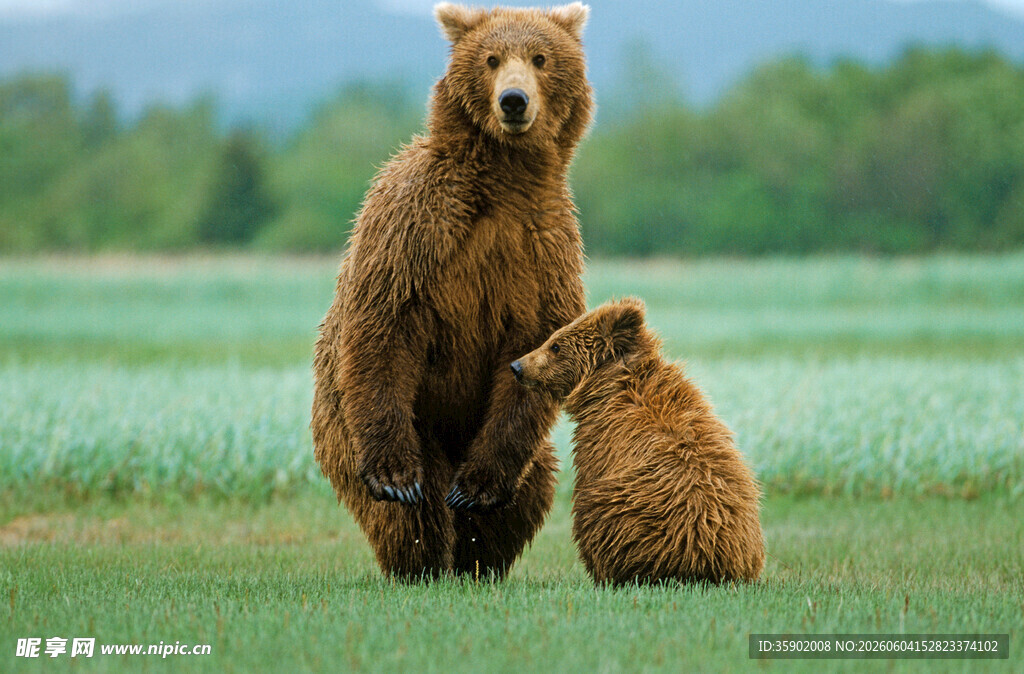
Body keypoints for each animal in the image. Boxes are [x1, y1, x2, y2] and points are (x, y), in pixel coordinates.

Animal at [311, 3, 594, 580]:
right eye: (491, 59)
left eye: (540, 57)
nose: (514, 100)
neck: (504, 179)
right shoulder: (416, 224)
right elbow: (386, 322)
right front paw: (396, 478)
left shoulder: (544, 247)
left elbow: (537, 347)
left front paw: (478, 491)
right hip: (358, 422)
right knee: (410, 508)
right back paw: (420, 559)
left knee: (531, 489)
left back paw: (476, 557)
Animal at [510, 298, 765, 585]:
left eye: (555, 345)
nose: (517, 366)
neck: (607, 386)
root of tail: (705, 559)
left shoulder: (601, 443)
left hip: (639, 517)